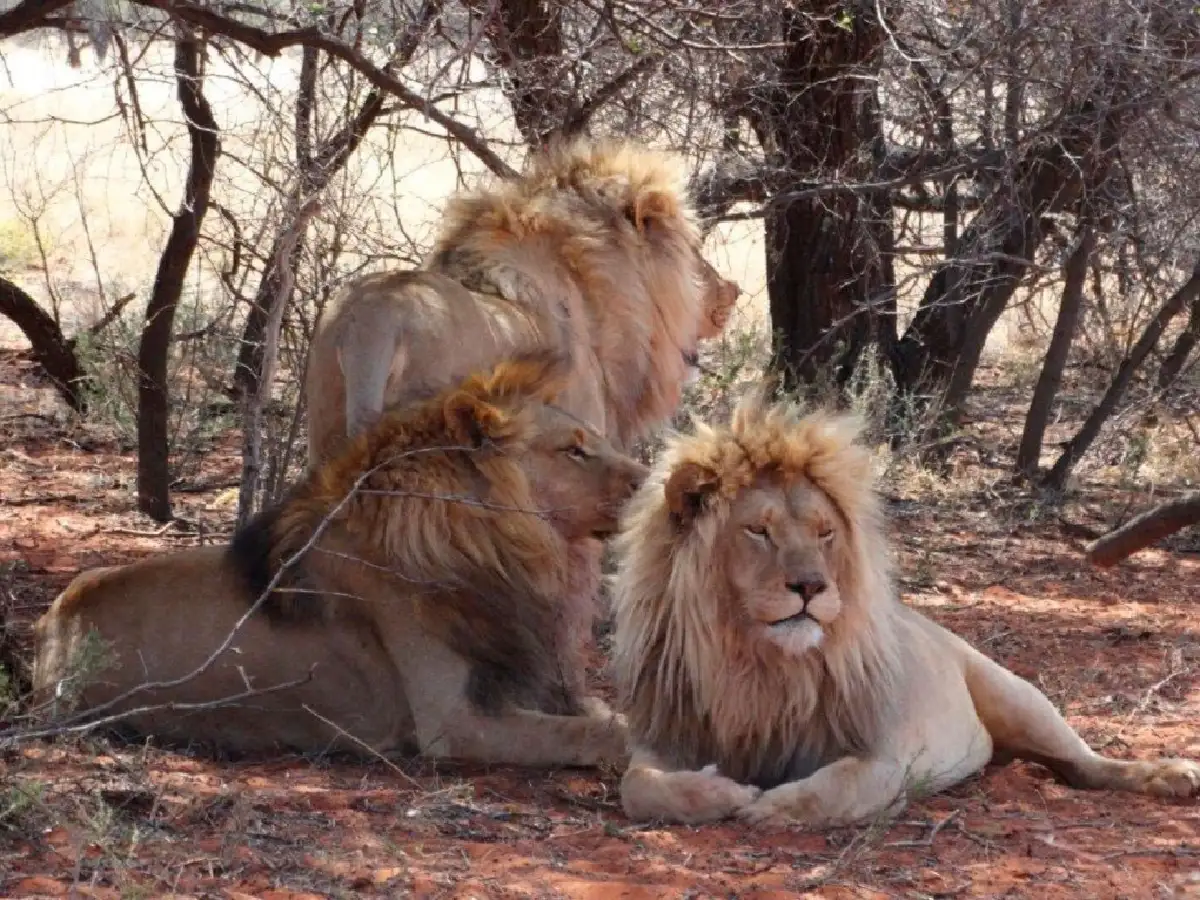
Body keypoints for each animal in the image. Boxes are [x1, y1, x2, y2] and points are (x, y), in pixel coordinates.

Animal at [32, 351, 644, 767]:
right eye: (573, 449)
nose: (649, 480)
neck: (508, 549)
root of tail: (53, 621)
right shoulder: (452, 721)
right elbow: (600, 733)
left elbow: (598, 714)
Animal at [610, 395, 1200, 826]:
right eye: (758, 530)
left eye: (824, 533)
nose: (812, 586)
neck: (756, 665)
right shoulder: (667, 734)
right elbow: (637, 787)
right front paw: (722, 793)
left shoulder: (884, 757)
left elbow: (837, 786)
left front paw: (774, 806)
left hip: (1015, 696)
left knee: (1084, 762)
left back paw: (1170, 775)